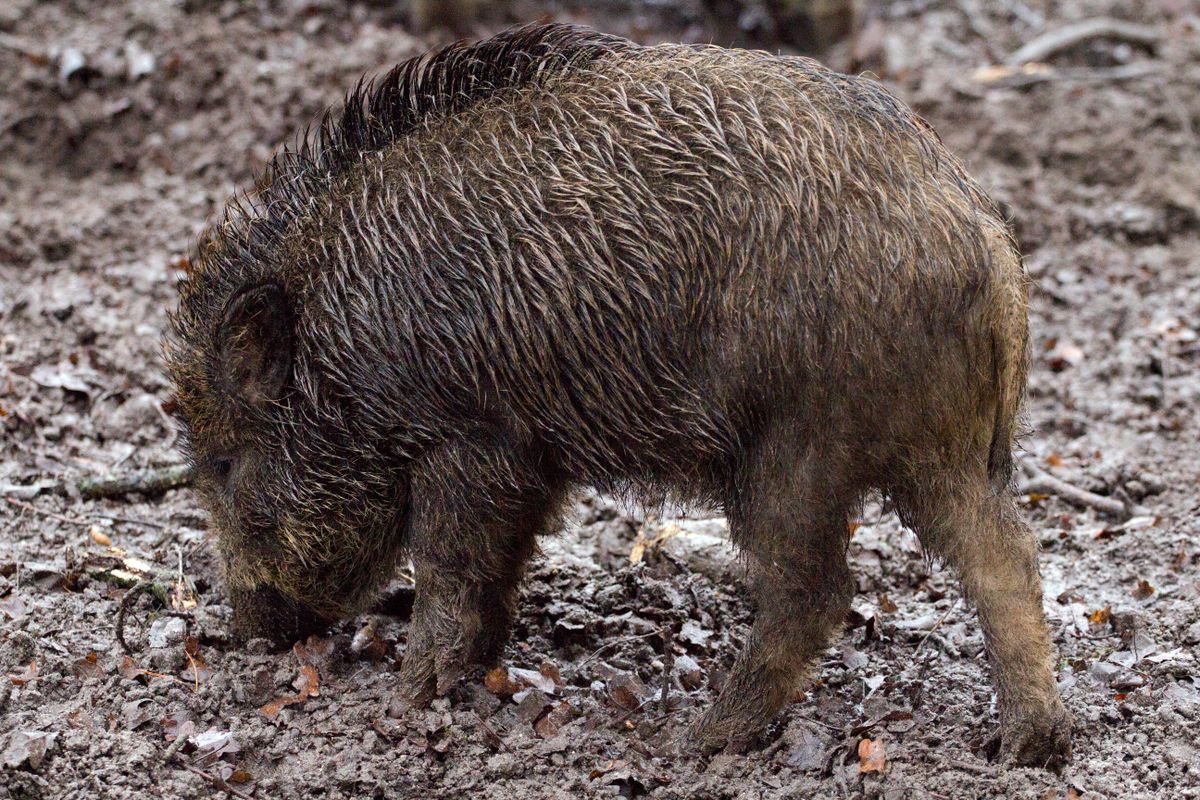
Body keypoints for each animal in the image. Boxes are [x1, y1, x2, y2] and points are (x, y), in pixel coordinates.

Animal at [166, 23, 1071, 765]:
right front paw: (475, 673)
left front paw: (409, 699)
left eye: (224, 462)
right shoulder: (527, 459)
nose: (249, 634)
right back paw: (1026, 748)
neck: (340, 344)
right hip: (939, 446)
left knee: (816, 592)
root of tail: (981, 231)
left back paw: (702, 740)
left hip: (798, 447)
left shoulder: (466, 442)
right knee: (1005, 558)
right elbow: (498, 572)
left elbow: (451, 571)